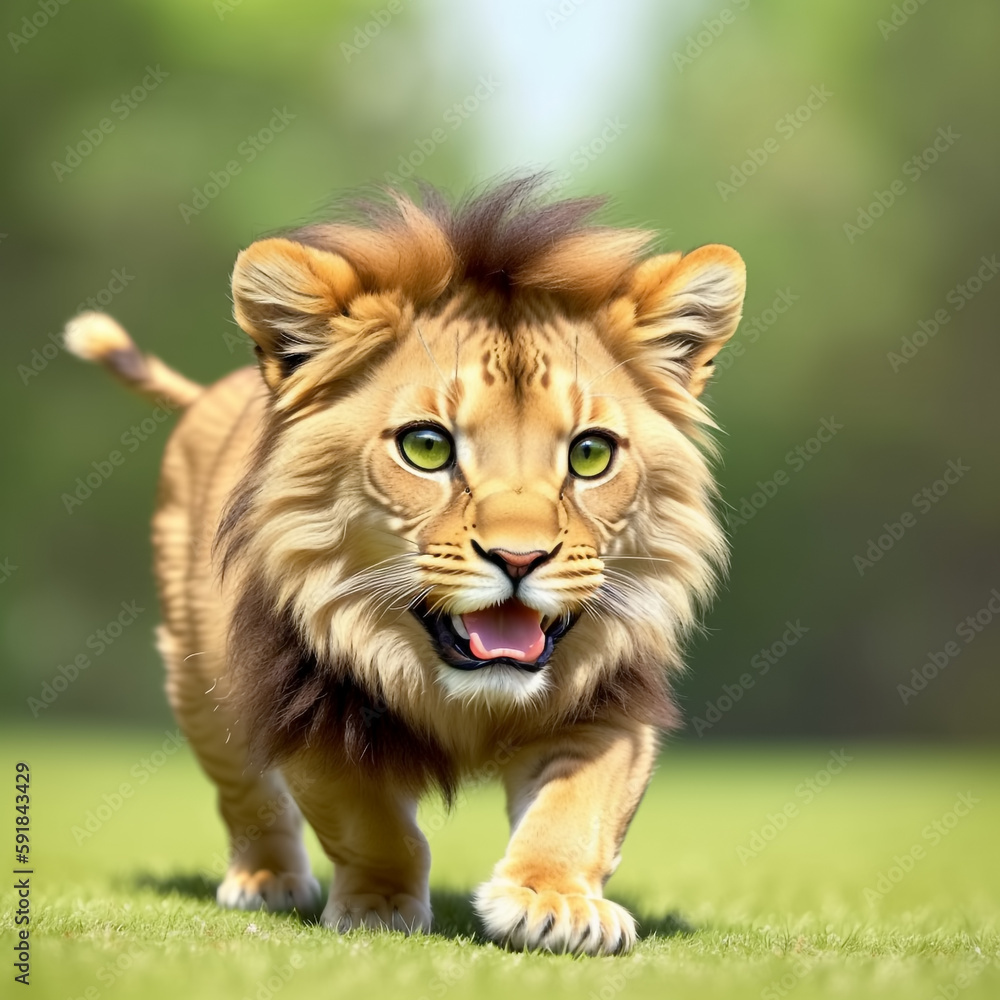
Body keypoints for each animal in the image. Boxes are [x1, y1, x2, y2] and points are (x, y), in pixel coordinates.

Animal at [64, 177, 745, 955]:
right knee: (244, 794)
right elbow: (369, 823)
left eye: (591, 454)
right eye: (426, 447)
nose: (519, 557)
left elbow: (576, 808)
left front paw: (554, 903)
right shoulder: (307, 704)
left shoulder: (611, 703)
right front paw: (379, 906)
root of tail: (219, 388)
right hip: (198, 680)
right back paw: (264, 880)